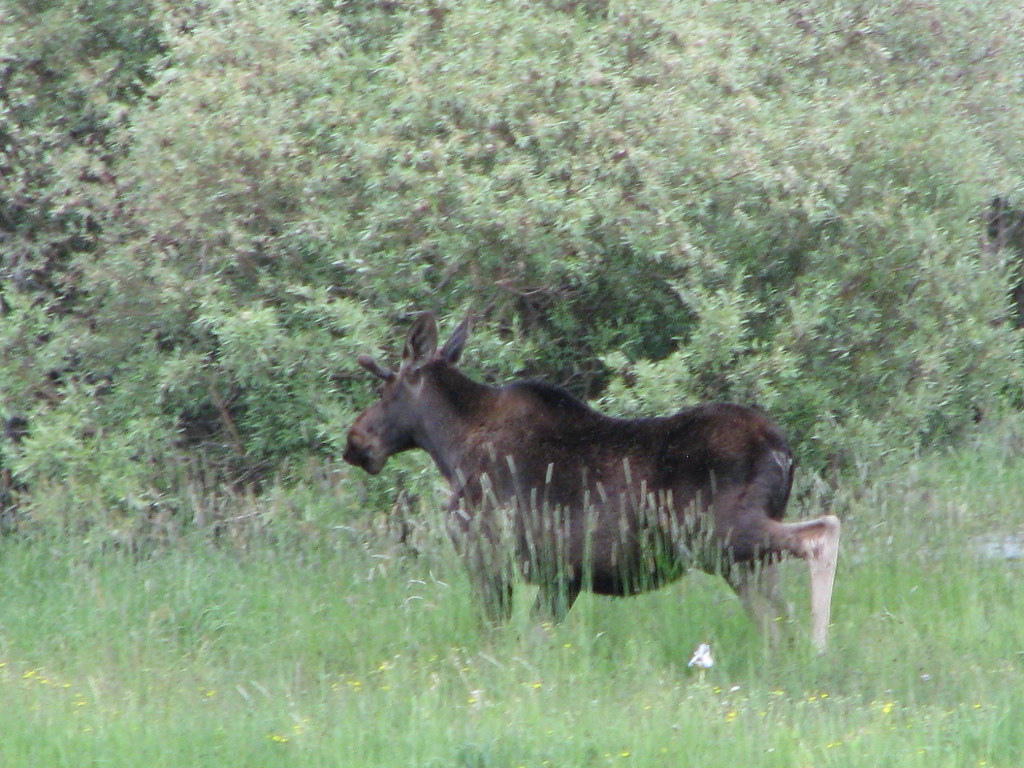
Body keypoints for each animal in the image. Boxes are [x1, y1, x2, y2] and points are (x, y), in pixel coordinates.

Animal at [344, 312, 840, 650]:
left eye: (384, 390)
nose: (355, 440)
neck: (450, 445)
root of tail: (785, 451)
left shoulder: (486, 548)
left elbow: (496, 631)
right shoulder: (561, 576)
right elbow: (536, 636)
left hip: (722, 533)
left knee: (822, 534)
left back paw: (817, 646)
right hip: (736, 556)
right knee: (772, 605)